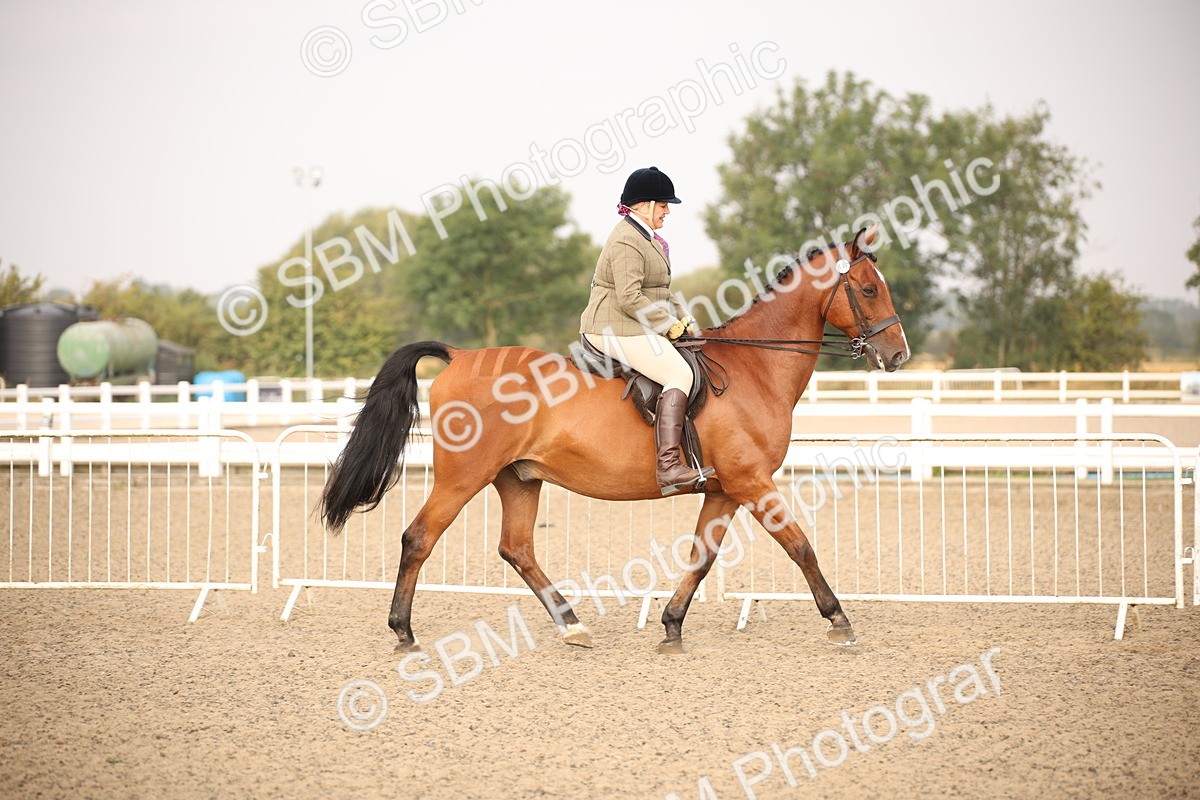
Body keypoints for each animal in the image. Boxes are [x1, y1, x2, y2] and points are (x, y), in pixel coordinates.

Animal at [320, 224, 910, 653]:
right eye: (868, 289)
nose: (898, 355)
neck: (755, 367)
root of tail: (461, 356)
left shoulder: (725, 489)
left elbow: (702, 556)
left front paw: (671, 624)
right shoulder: (752, 481)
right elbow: (800, 545)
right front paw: (839, 619)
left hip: (518, 478)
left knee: (517, 548)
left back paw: (573, 625)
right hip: (465, 475)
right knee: (419, 538)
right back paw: (403, 631)